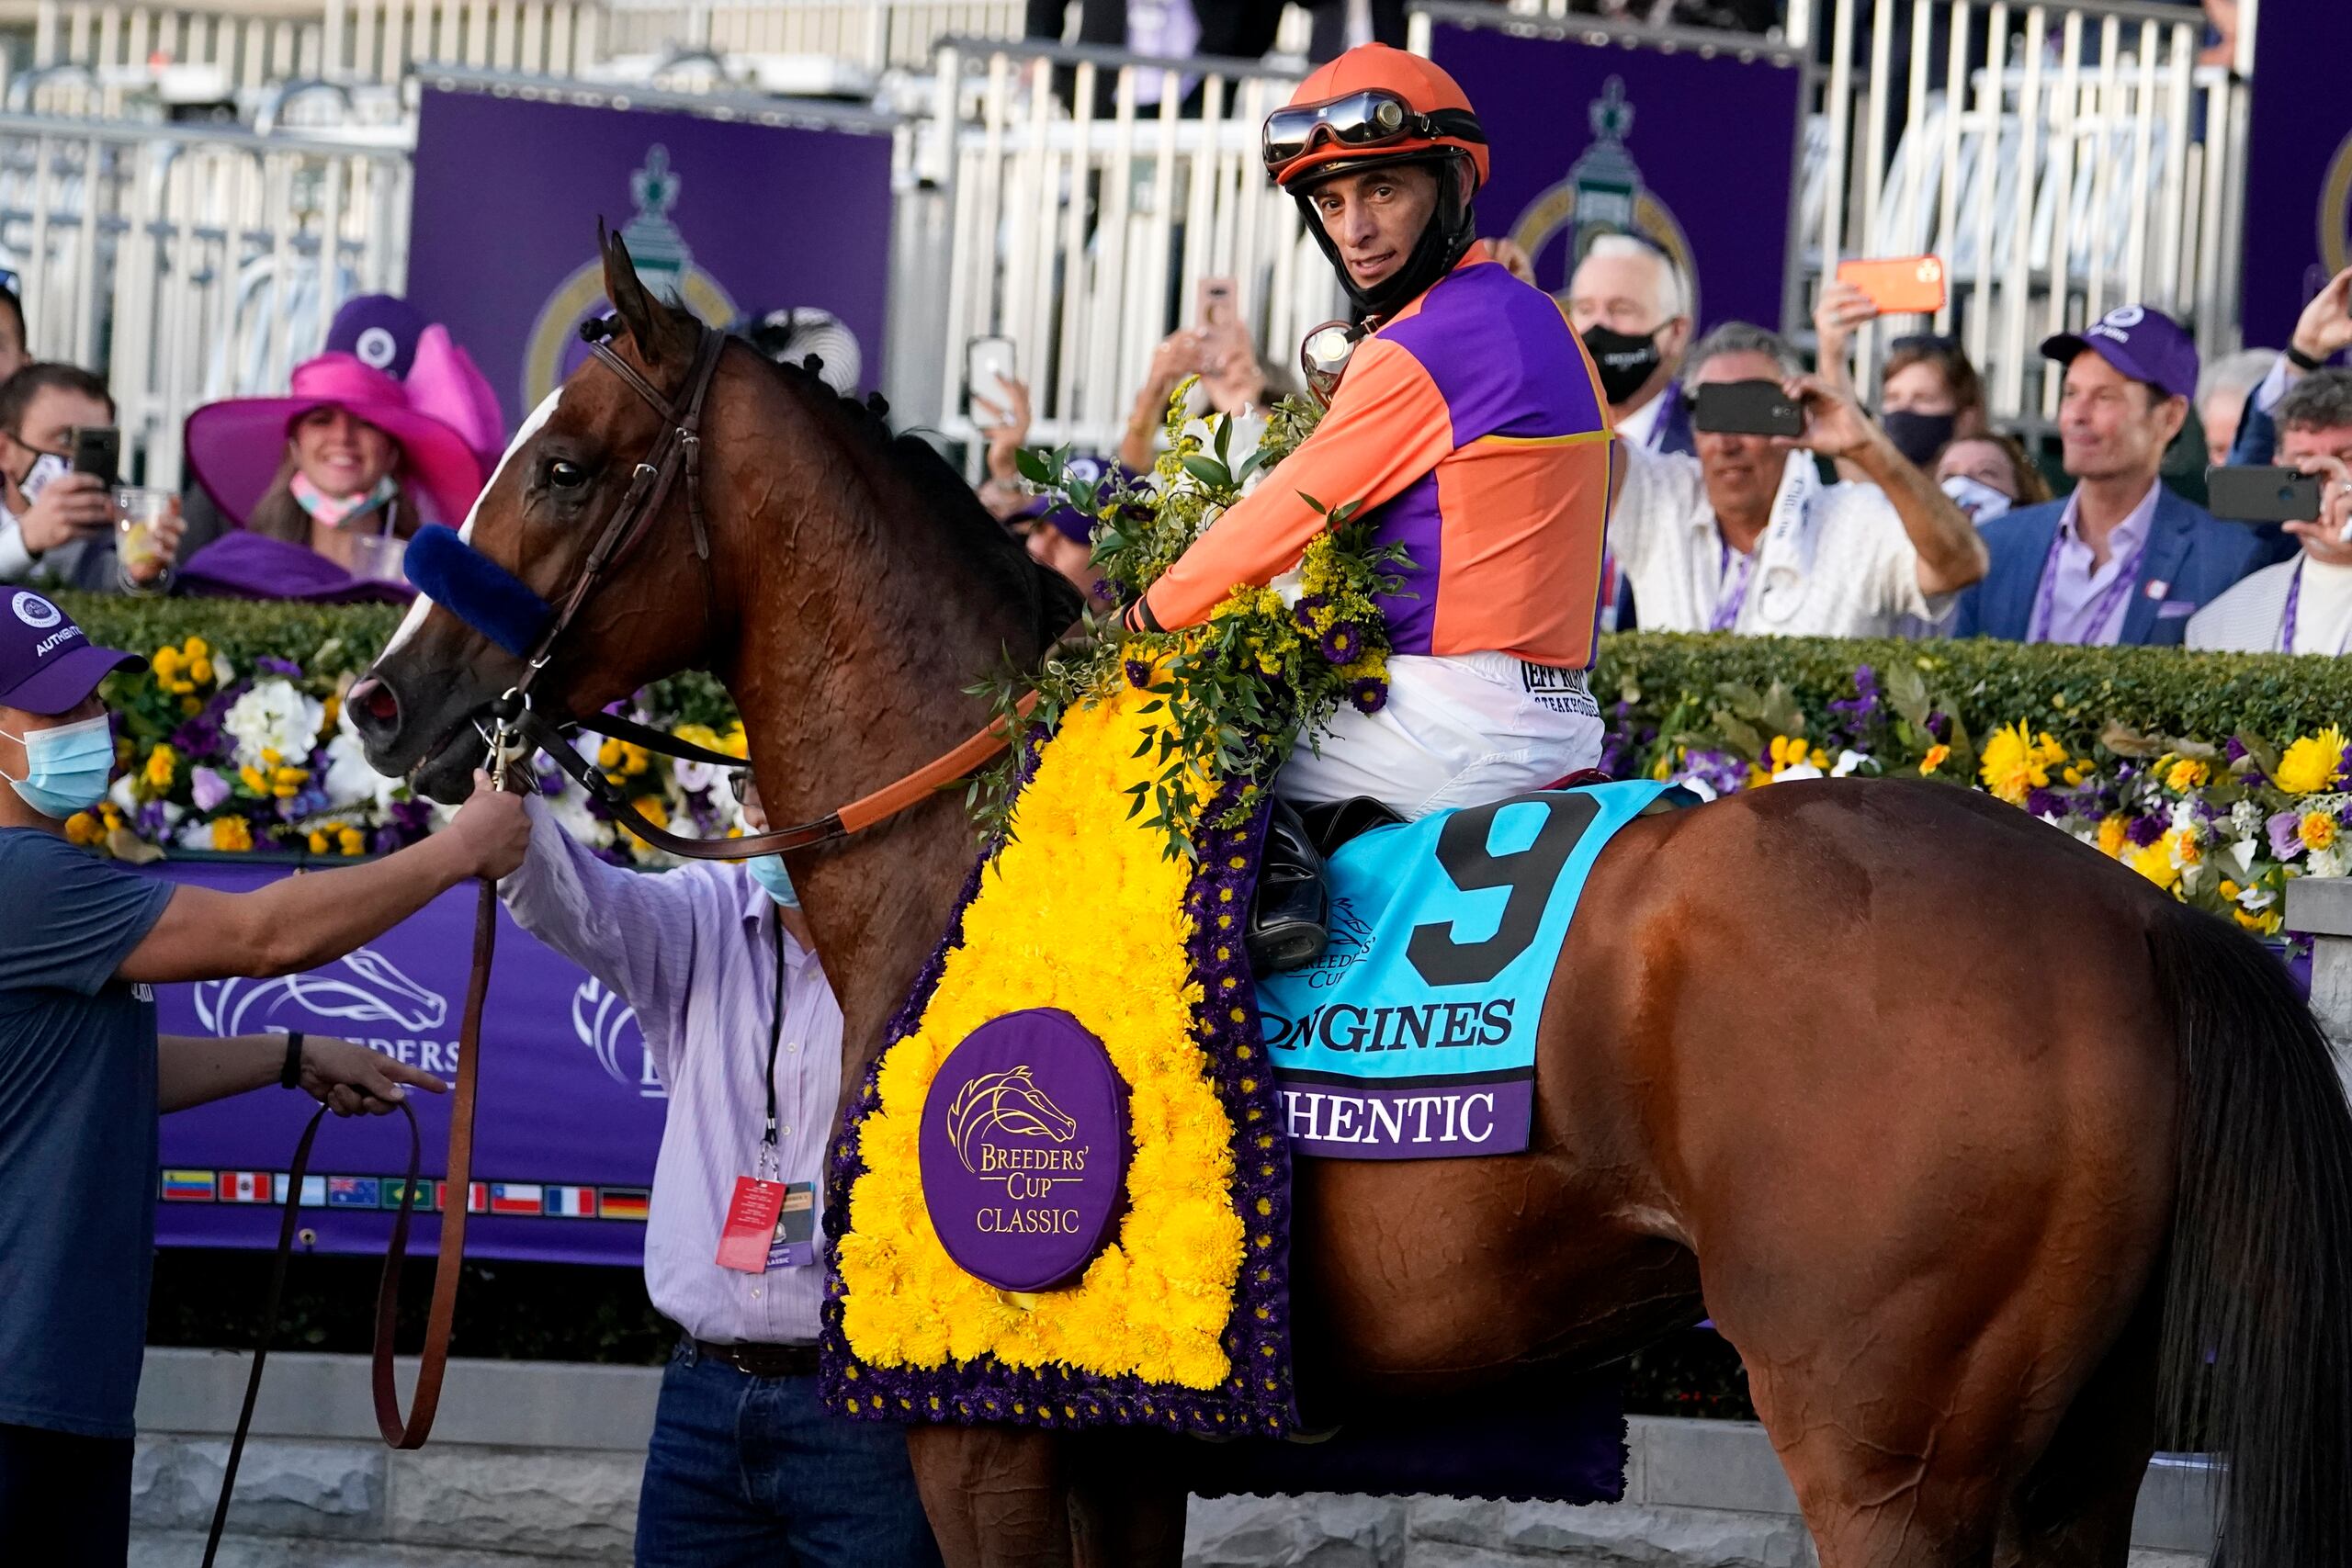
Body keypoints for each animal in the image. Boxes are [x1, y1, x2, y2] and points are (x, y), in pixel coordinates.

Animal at [343, 232, 2352, 1568]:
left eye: (565, 464)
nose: (381, 700)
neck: (960, 832)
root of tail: (2142, 918)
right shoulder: (1122, 1428)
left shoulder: (985, 1428)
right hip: (2066, 1460)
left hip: (1887, 1454)